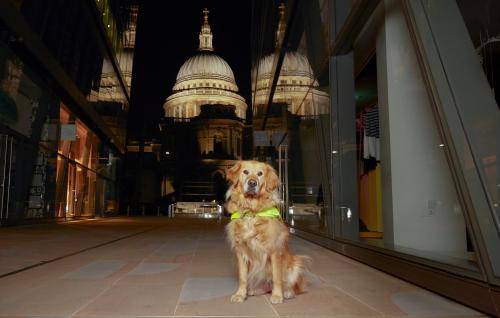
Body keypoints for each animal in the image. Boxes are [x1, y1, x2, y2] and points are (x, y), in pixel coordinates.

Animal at [226, 160, 308, 304]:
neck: (251, 211)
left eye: (260, 174)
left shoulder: (274, 250)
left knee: (292, 285)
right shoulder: (241, 251)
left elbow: (277, 277)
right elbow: (242, 277)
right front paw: (240, 294)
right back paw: (255, 290)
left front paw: (277, 296)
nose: (252, 183)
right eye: (245, 172)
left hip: (296, 264)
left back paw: (287, 292)